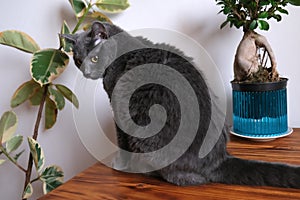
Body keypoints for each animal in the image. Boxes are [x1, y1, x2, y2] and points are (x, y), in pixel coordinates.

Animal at [62, 21, 300, 188]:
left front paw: (120, 165)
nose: (86, 72)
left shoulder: (117, 107)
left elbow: (121, 141)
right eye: (78, 60)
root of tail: (219, 160)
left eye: (93, 59)